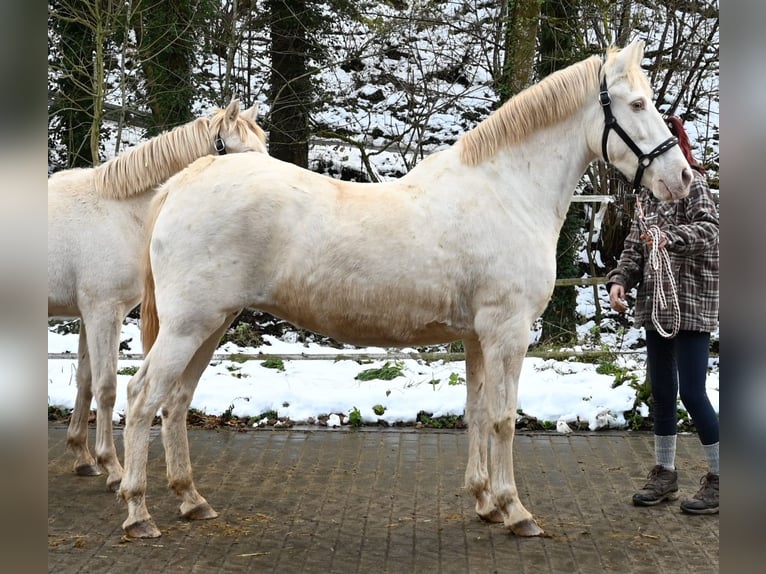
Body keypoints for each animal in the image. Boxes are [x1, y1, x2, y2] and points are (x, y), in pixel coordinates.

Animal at [48, 98, 268, 490]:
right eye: (244, 154)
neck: (117, 211)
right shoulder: (104, 312)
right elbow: (106, 386)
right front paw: (114, 469)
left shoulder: (90, 314)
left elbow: (86, 382)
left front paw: (84, 458)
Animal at [121, 40, 696, 540]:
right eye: (638, 103)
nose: (683, 178)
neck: (507, 191)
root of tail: (184, 181)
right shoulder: (507, 334)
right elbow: (504, 419)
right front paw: (515, 510)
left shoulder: (476, 338)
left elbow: (477, 414)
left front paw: (485, 501)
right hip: (189, 326)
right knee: (143, 396)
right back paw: (137, 512)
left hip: (211, 325)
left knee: (176, 400)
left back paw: (192, 500)